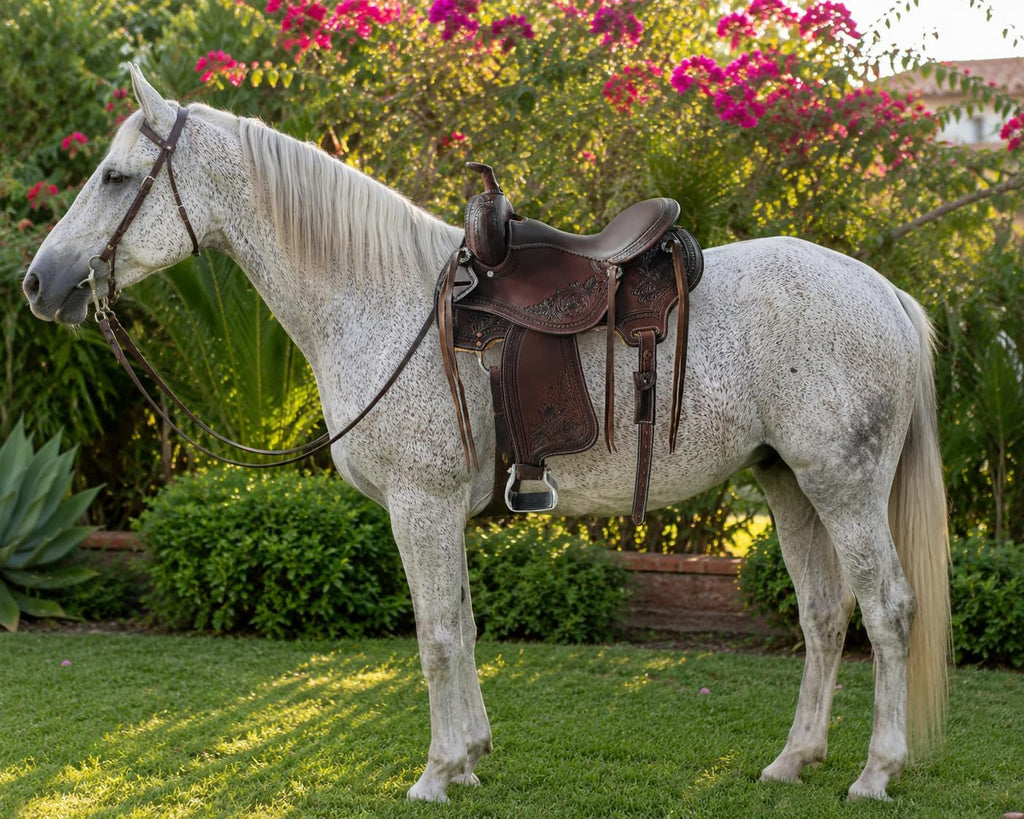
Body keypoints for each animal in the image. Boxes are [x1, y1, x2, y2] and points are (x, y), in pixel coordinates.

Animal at [24, 65, 950, 803]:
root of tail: (885, 293)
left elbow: (435, 636)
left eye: (116, 177)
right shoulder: (441, 512)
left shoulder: (420, 505)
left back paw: (876, 771)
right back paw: (794, 759)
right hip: (788, 483)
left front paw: (435, 773)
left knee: (888, 609)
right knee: (825, 614)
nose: (41, 282)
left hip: (843, 486)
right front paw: (469, 756)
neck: (382, 297)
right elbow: (463, 627)